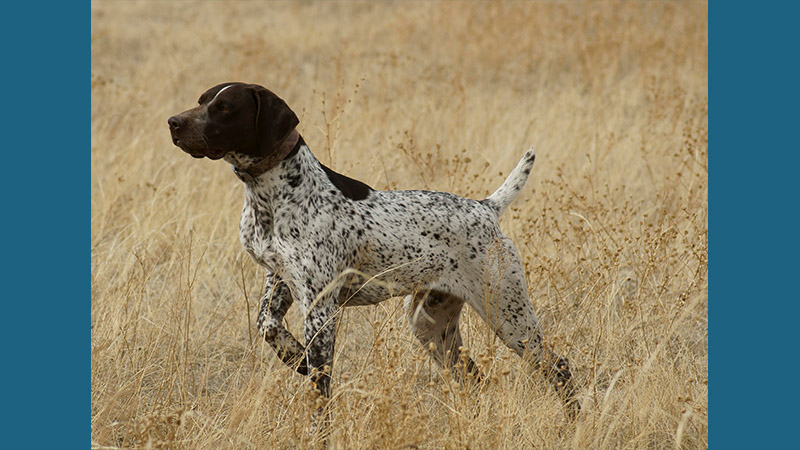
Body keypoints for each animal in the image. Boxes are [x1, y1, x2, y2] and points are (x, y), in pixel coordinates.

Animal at [170, 83, 580, 422]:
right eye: (201, 101)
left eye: (224, 108)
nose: (173, 122)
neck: (271, 196)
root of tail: (486, 208)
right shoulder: (281, 280)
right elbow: (268, 327)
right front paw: (296, 358)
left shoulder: (321, 308)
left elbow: (320, 389)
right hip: (431, 326)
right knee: (475, 379)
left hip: (509, 317)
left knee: (560, 367)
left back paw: (572, 424)